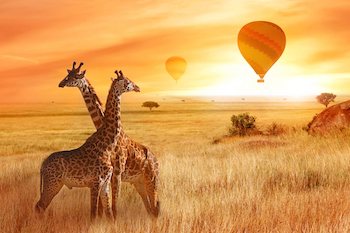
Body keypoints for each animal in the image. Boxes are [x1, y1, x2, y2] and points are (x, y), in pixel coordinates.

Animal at [34, 70, 140, 222]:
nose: (137, 87)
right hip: (53, 184)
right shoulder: (96, 182)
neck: (107, 144)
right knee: (39, 206)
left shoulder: (105, 183)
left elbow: (108, 214)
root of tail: (42, 166)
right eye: (127, 82)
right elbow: (94, 214)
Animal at [58, 63, 160, 218]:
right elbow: (103, 206)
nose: (61, 83)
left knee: (155, 207)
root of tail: (156, 160)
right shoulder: (106, 175)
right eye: (68, 75)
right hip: (138, 182)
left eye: (76, 76)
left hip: (151, 179)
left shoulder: (116, 173)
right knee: (150, 209)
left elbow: (113, 206)